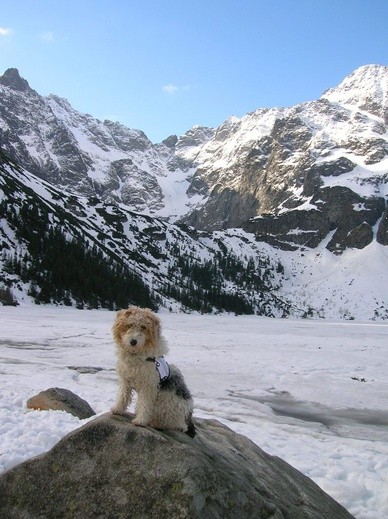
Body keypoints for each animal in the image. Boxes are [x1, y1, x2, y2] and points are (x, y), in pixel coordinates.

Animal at [110, 306, 196, 436]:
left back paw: (157, 424)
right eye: (129, 325)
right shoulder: (126, 381)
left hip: (167, 403)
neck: (136, 355)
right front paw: (117, 409)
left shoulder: (149, 386)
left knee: (176, 425)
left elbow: (144, 404)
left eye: (143, 327)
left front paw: (140, 421)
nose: (133, 341)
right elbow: (122, 396)